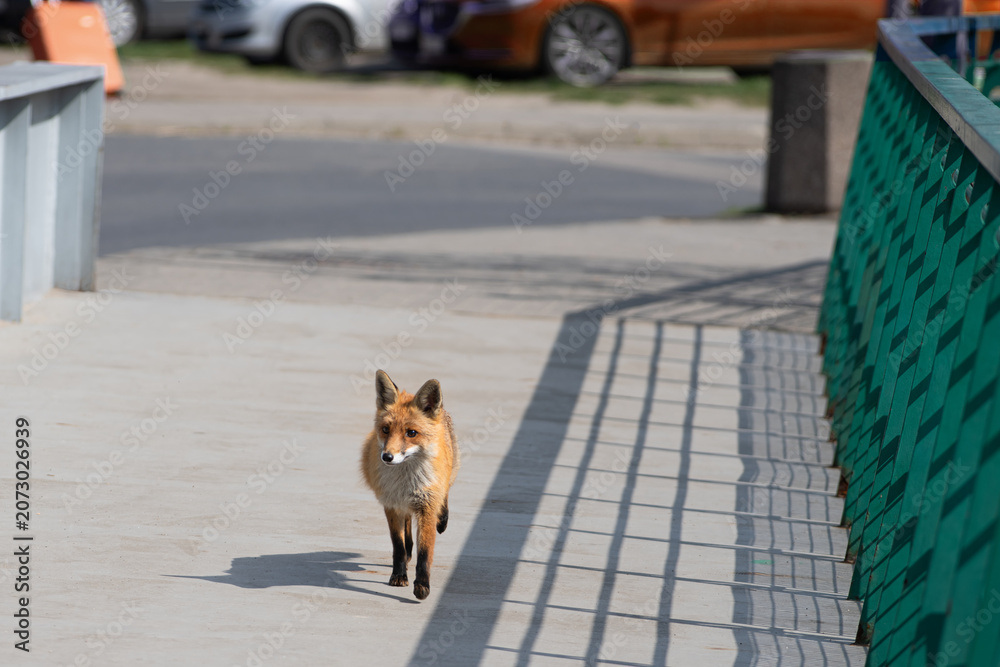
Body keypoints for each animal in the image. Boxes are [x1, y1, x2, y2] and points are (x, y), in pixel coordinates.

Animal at [361, 370, 459, 600]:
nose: (387, 457)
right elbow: (398, 545)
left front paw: (422, 585)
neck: (405, 483)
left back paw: (443, 520)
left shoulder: (426, 506)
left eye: (411, 433)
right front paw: (399, 575)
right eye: (385, 429)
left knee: (445, 496)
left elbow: (425, 552)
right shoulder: (391, 504)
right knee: (407, 534)